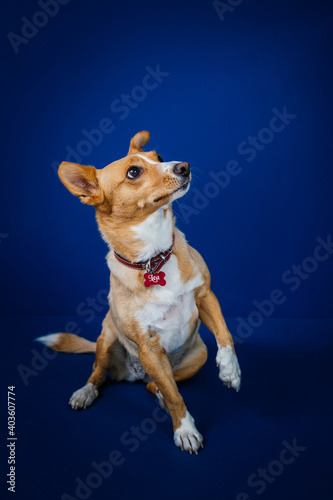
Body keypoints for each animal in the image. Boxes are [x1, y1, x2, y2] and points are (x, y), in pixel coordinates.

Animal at [37, 131, 240, 456]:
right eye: (134, 172)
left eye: (159, 158)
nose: (184, 166)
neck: (153, 258)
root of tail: (133, 373)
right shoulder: (147, 346)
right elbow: (175, 397)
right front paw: (185, 429)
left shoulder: (206, 295)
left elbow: (225, 335)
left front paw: (231, 371)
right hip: (107, 338)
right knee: (100, 373)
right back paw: (85, 392)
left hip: (197, 355)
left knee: (156, 385)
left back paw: (157, 391)